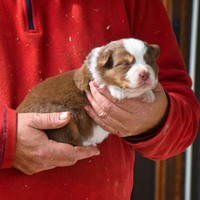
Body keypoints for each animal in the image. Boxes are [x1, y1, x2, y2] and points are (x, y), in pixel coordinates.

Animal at [17, 38, 161, 146]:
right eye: (125, 63)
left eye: (149, 62)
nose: (145, 74)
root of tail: (20, 110)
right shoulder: (88, 81)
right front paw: (117, 91)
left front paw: (148, 93)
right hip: (64, 118)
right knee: (68, 141)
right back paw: (87, 143)